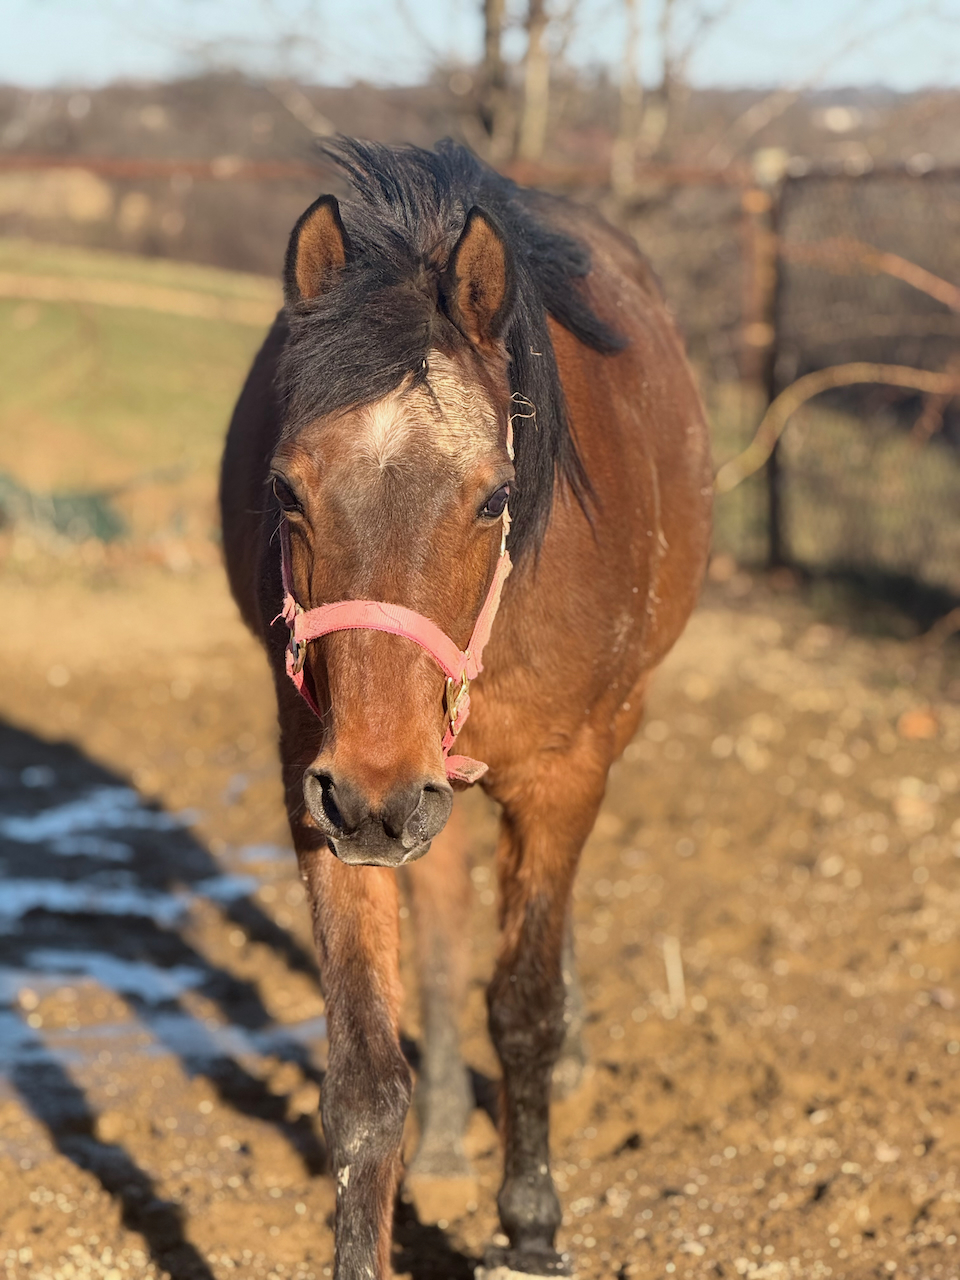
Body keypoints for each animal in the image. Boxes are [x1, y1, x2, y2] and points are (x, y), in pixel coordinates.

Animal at [220, 138, 711, 1280]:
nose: (374, 795)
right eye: (286, 489)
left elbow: (524, 1008)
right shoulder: (321, 780)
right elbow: (364, 1081)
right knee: (440, 934)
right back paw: (445, 1129)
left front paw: (530, 1227)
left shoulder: (563, 770)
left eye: (493, 497)